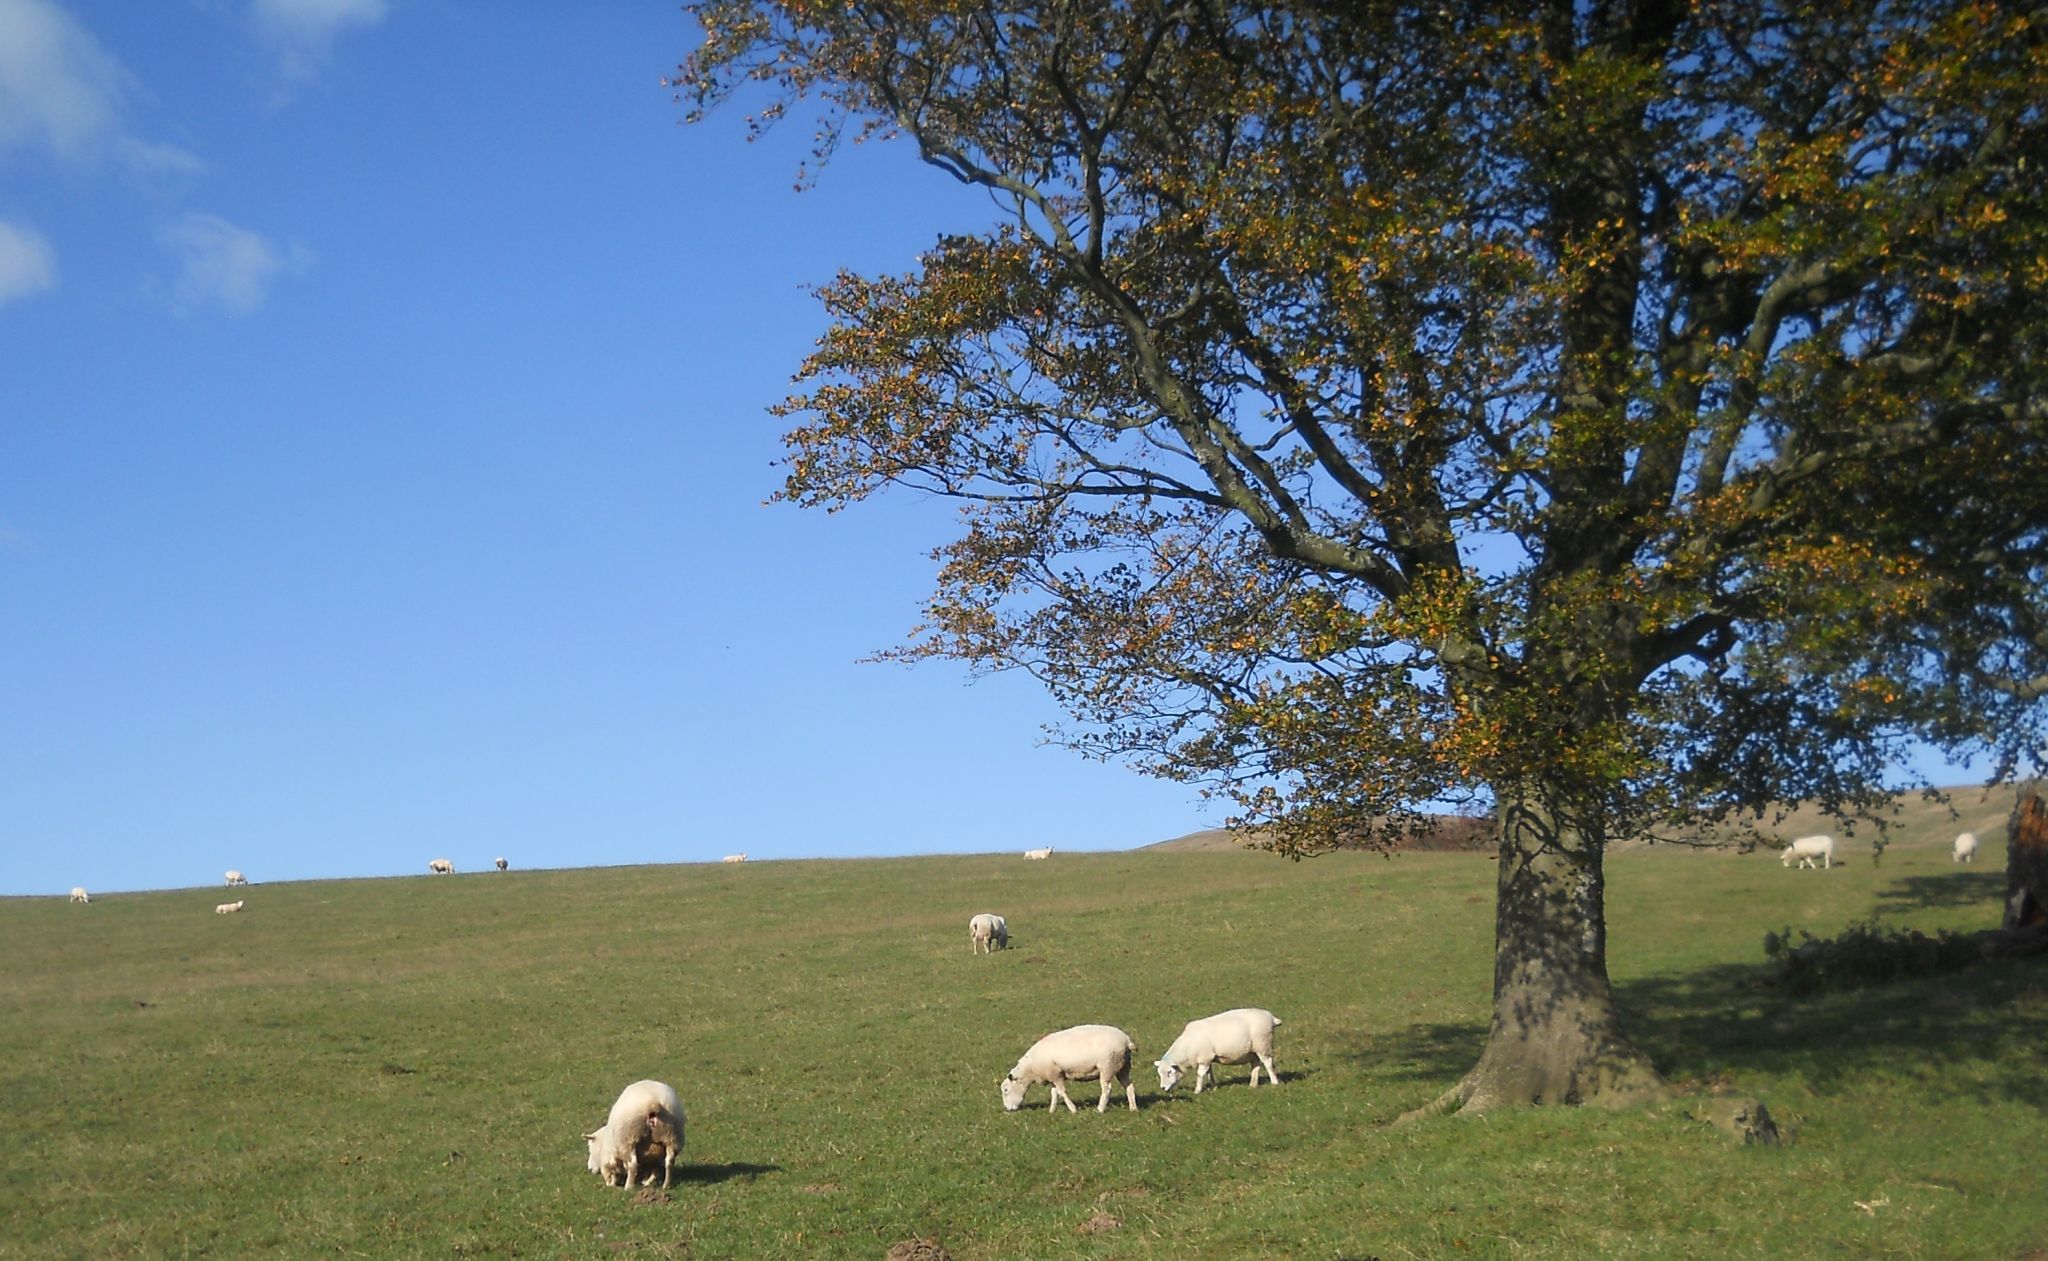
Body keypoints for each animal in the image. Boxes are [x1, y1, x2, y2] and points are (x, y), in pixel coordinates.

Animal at [995, 1023, 1138, 1113]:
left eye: (1006, 1090)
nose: (1008, 1108)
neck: (1031, 1069)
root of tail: (1126, 1040)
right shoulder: (1052, 1076)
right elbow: (1054, 1093)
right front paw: (1052, 1110)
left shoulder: (1056, 1073)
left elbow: (1061, 1092)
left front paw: (1073, 1109)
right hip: (1123, 1066)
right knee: (1129, 1086)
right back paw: (1133, 1108)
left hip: (1107, 1066)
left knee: (1107, 1089)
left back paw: (1100, 1109)